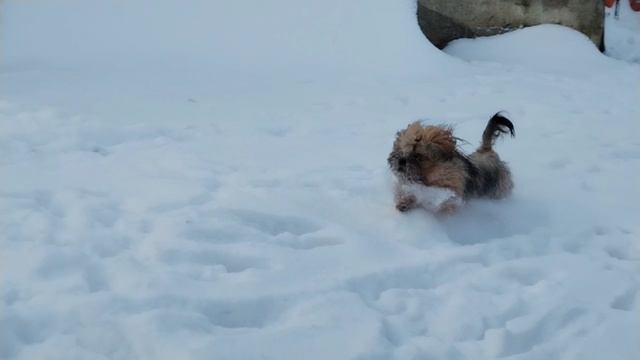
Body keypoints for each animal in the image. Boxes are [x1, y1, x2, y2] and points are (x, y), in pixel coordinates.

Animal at [384, 112, 516, 214]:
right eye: (399, 151)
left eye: (417, 155)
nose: (401, 160)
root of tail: (486, 151)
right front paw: (404, 202)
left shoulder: (452, 189)